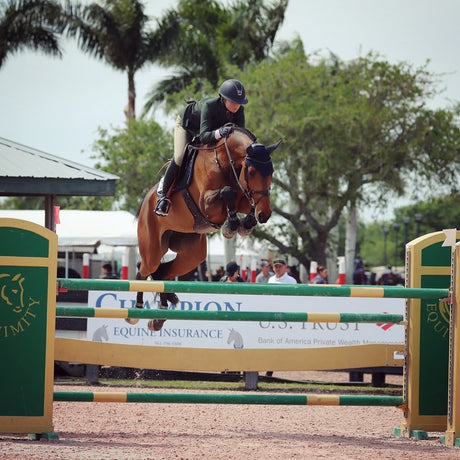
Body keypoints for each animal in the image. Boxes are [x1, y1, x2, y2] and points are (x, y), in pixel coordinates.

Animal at [129, 126, 280, 330]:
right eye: (251, 172)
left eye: (271, 171)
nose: (265, 215)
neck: (224, 161)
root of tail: (146, 200)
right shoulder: (207, 204)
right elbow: (227, 191)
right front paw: (231, 225)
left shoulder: (242, 194)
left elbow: (244, 199)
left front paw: (245, 223)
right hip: (152, 246)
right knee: (144, 268)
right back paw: (136, 310)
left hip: (192, 253)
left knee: (162, 271)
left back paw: (161, 313)